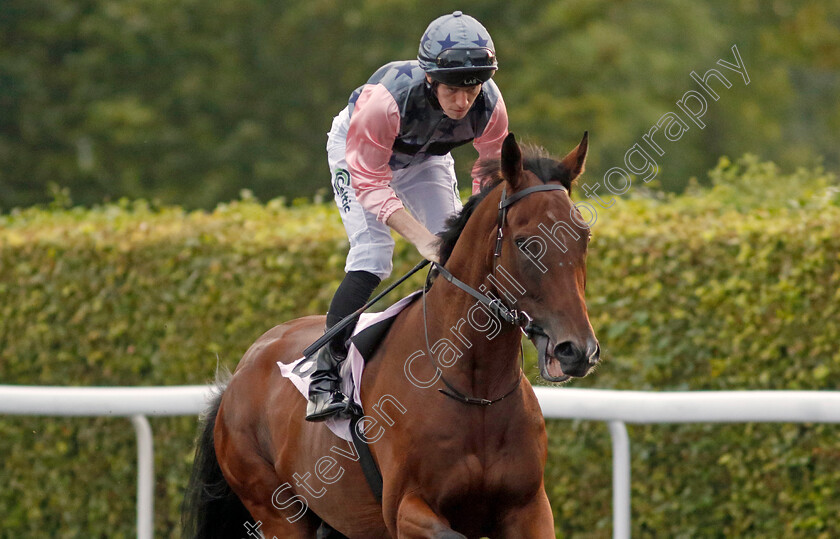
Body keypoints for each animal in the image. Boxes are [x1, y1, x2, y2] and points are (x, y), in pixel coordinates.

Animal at [181, 132, 600, 539]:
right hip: (277, 512)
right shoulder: (404, 509)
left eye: (584, 237)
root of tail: (239, 375)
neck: (475, 388)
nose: (577, 350)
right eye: (526, 243)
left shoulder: (528, 509)